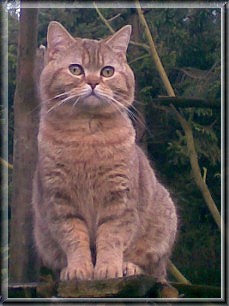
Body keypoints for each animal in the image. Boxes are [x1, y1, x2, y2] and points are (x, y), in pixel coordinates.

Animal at [32, 21, 178, 284]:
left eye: (107, 71)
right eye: (76, 69)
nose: (93, 82)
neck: (87, 136)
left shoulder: (119, 199)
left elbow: (112, 237)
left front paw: (108, 268)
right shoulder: (60, 201)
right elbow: (74, 239)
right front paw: (79, 269)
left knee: (152, 268)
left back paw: (129, 267)